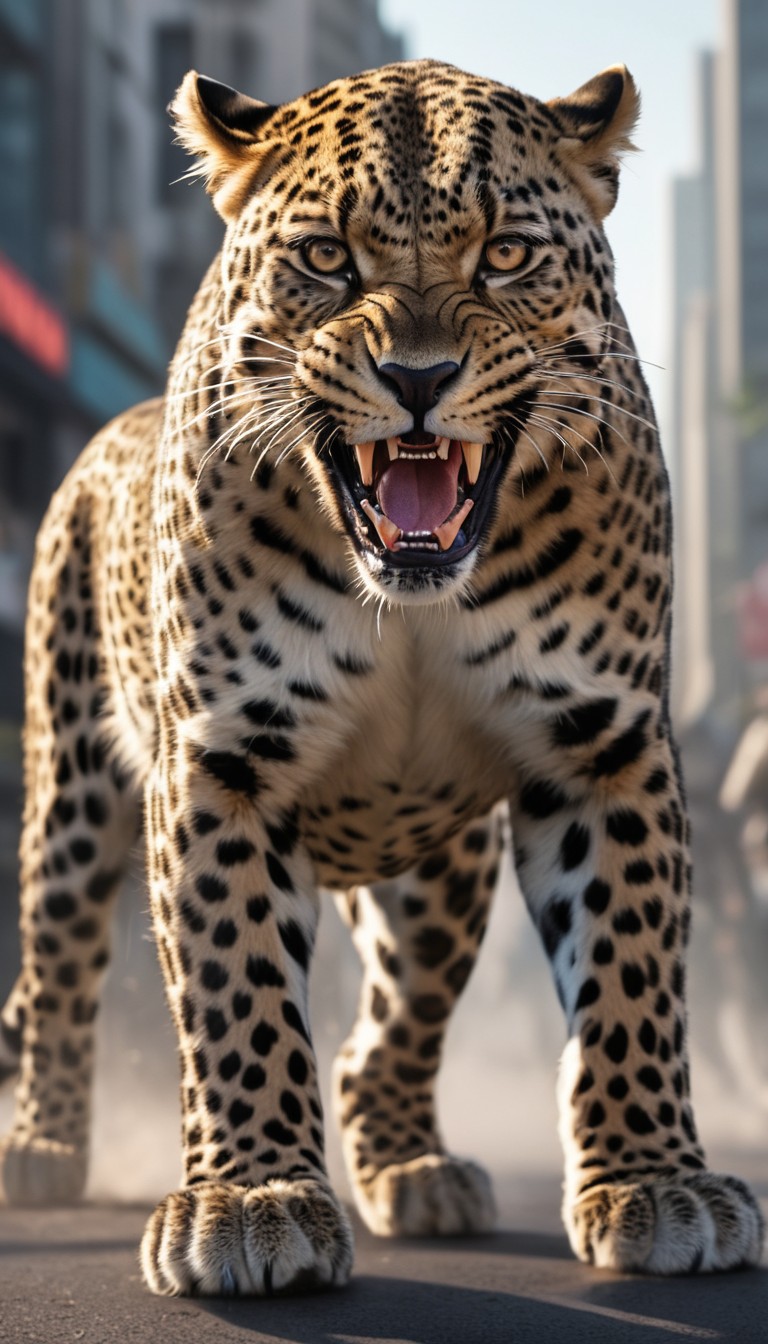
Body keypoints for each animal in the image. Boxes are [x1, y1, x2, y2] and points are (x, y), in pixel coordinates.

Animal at [0, 58, 763, 1296]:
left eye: (506, 255)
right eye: (325, 258)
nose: (418, 377)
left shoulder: (605, 746)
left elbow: (632, 972)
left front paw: (655, 1179)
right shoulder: (221, 757)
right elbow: (237, 986)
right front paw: (251, 1197)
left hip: (439, 877)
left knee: (388, 1031)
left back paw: (415, 1168)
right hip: (67, 800)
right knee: (58, 966)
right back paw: (45, 1148)